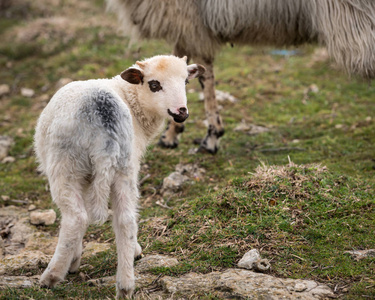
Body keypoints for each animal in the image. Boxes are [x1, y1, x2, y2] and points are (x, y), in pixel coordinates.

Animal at [34, 55, 206, 298]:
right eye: (154, 84)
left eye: (185, 81)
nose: (181, 111)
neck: (131, 99)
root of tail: (104, 112)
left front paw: (73, 260)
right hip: (123, 166)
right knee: (125, 221)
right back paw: (125, 285)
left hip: (66, 166)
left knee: (76, 218)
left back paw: (51, 276)